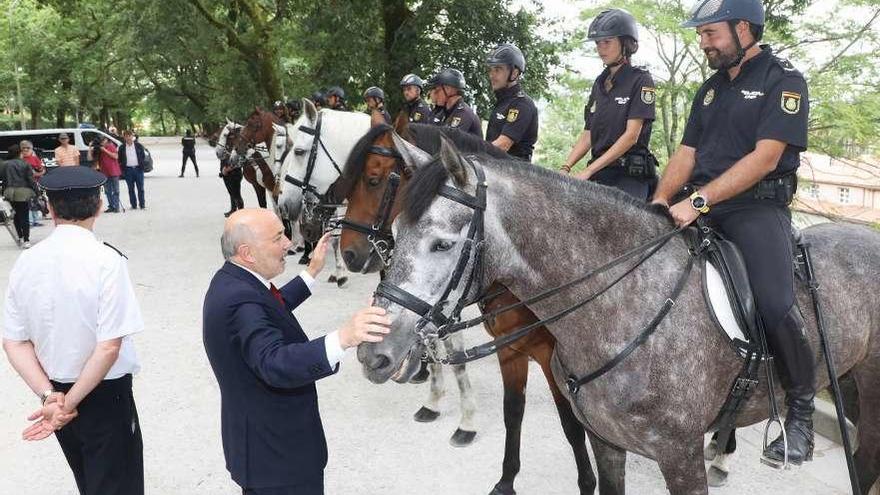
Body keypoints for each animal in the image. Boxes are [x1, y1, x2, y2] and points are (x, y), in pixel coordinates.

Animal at [330, 110, 612, 494]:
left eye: (373, 180)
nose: (349, 253)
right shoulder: (510, 348)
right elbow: (513, 411)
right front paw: (506, 479)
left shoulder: (553, 358)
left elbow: (571, 424)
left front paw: (586, 481)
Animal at [358, 137, 880, 495]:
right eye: (398, 230)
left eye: (442, 244)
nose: (372, 353)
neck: (624, 305)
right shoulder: (606, 442)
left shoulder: (680, 458)